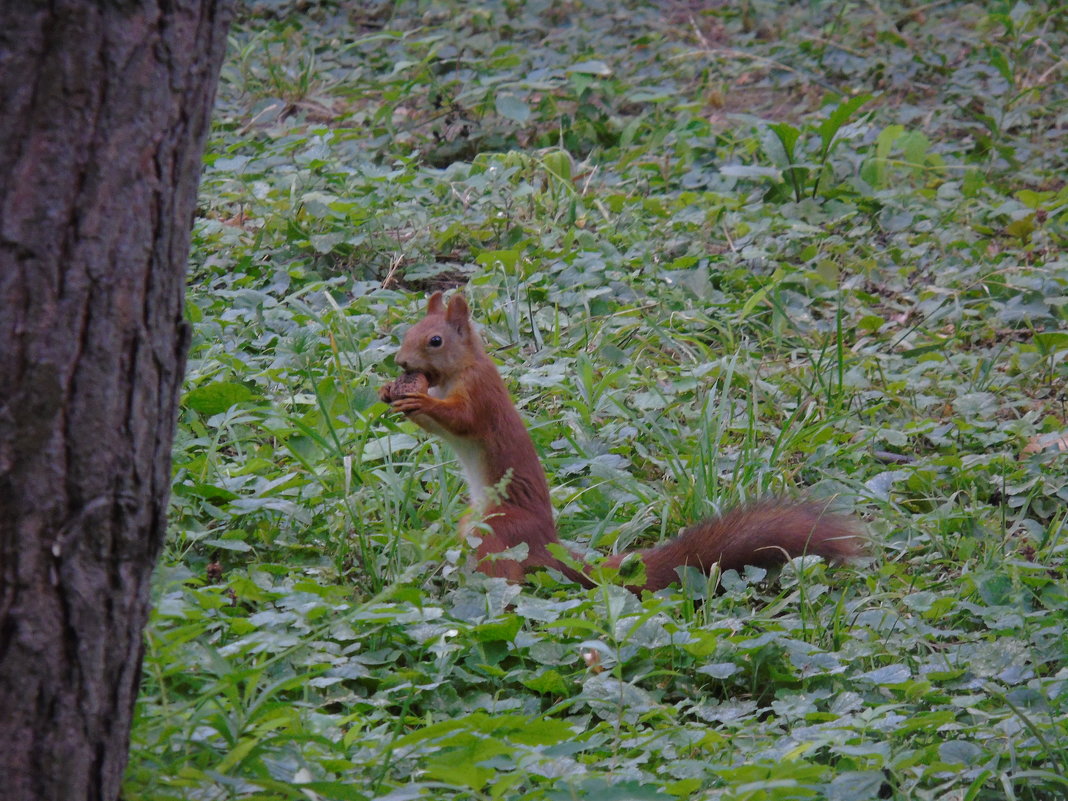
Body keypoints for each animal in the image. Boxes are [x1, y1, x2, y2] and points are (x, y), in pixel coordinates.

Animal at [380, 292, 862, 593]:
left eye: (435, 340)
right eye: (407, 332)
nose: (401, 362)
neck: (457, 372)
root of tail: (546, 543)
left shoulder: (480, 397)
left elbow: (461, 420)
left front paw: (417, 397)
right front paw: (393, 392)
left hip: (498, 530)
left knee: (507, 572)